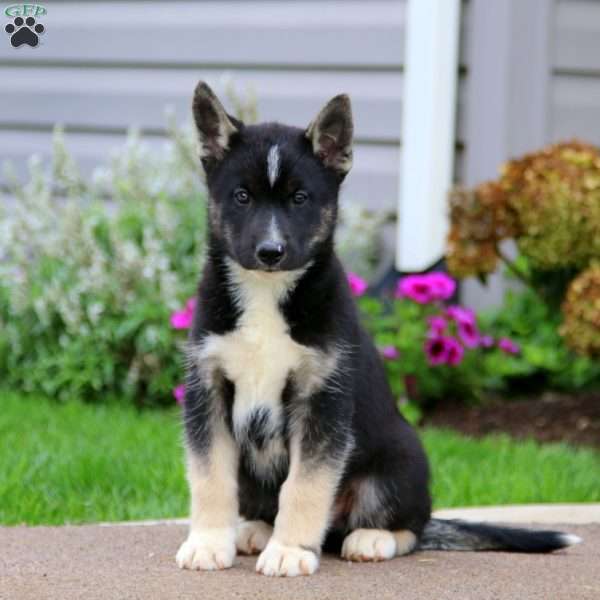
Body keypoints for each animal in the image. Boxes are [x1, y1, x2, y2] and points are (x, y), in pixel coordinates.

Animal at [176, 82, 580, 576]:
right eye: (241, 197)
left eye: (299, 199)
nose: (271, 252)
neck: (266, 295)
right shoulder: (208, 390)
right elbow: (211, 477)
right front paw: (208, 542)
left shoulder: (322, 402)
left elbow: (304, 486)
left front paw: (290, 550)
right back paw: (255, 530)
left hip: (401, 459)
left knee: (410, 527)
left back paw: (371, 538)